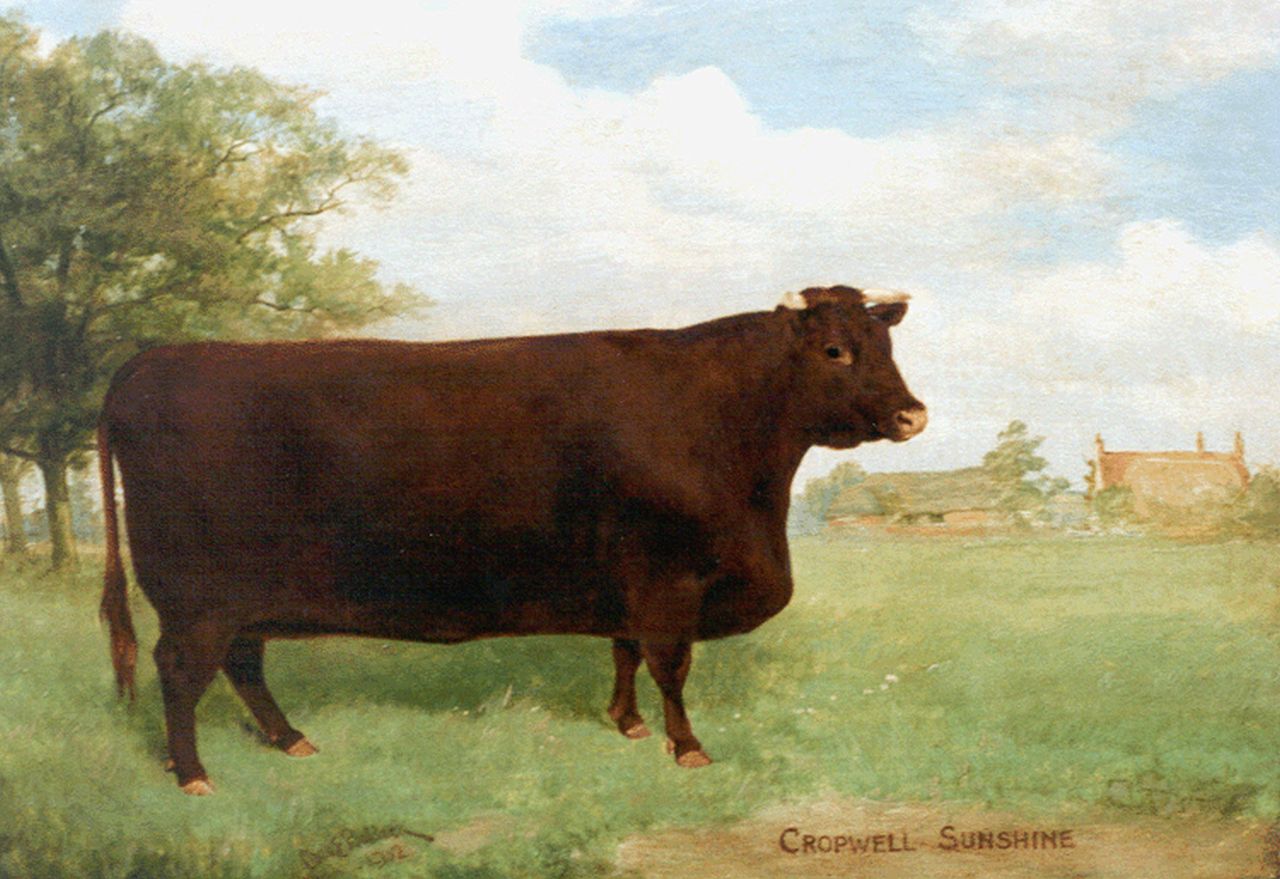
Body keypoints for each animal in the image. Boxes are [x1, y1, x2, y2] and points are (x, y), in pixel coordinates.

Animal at [98, 284, 927, 794]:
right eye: (834, 351)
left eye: (883, 345)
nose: (913, 414)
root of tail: (151, 360)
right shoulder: (668, 579)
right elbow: (670, 664)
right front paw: (686, 745)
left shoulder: (626, 579)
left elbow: (624, 651)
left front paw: (625, 722)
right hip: (197, 597)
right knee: (180, 669)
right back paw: (192, 771)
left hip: (242, 599)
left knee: (243, 663)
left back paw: (289, 737)